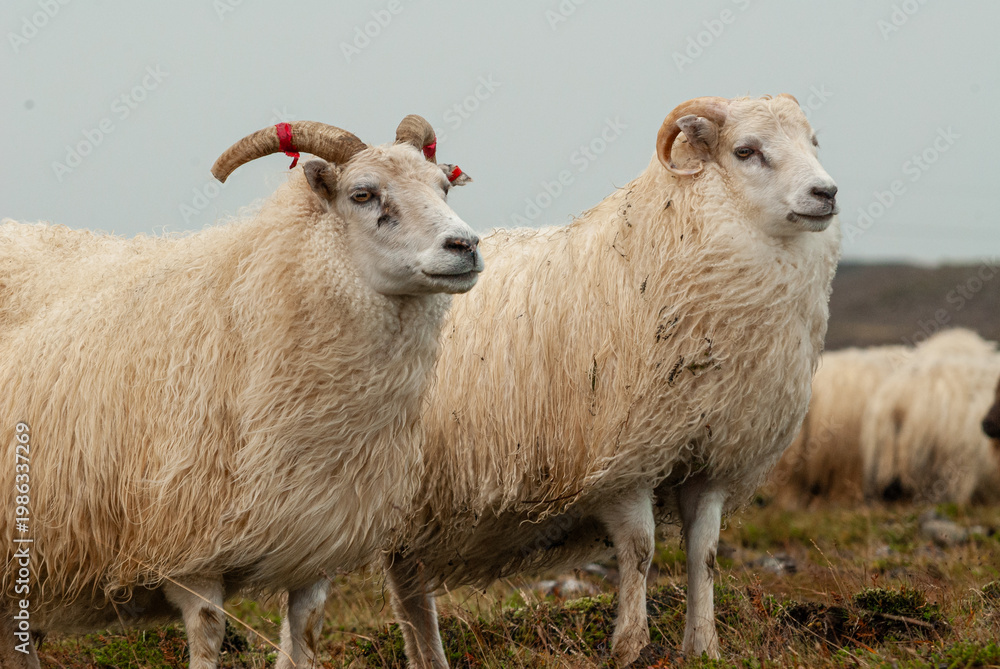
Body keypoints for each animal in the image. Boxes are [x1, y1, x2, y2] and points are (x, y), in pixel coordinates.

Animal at [0, 115, 483, 669]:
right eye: (362, 194)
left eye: (443, 186)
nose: (465, 246)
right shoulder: (186, 541)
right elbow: (209, 634)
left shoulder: (312, 544)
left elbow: (305, 635)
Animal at [280, 94, 841, 665]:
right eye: (746, 151)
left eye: (813, 141)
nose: (827, 193)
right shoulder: (623, 461)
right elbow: (639, 552)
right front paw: (630, 647)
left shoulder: (710, 460)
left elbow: (703, 554)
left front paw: (704, 648)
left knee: (408, 586)